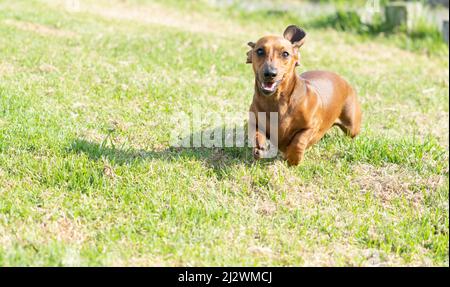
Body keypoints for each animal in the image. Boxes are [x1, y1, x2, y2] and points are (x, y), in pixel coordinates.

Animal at [246, 24, 362, 166]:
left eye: (285, 54)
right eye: (260, 51)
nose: (270, 73)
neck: (276, 102)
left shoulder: (311, 126)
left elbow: (299, 140)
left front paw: (293, 158)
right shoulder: (254, 121)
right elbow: (257, 132)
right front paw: (259, 148)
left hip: (352, 127)